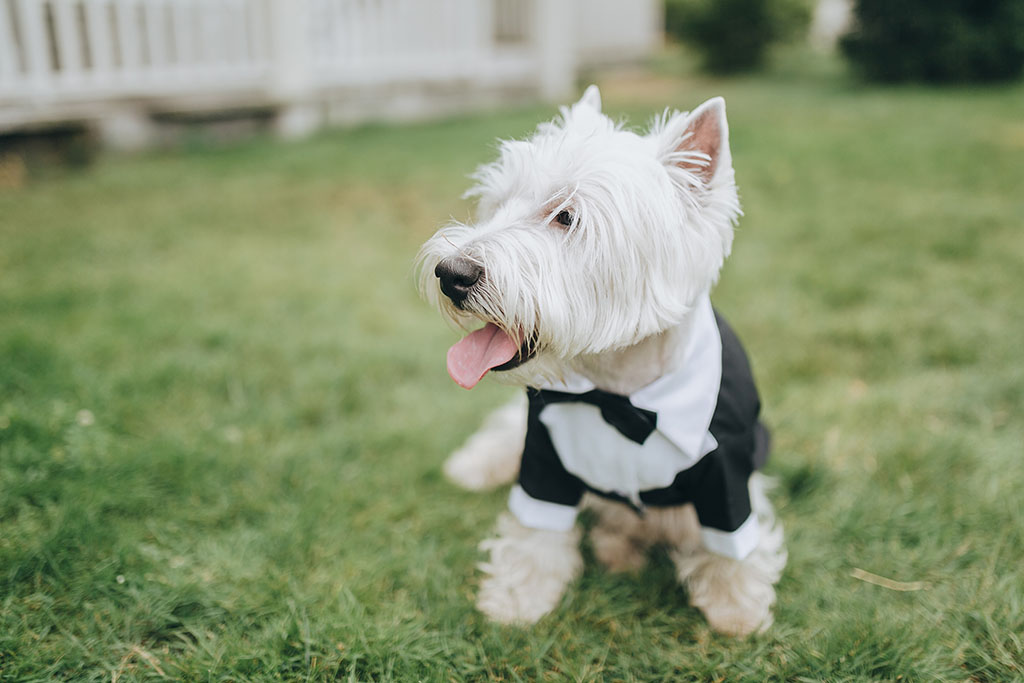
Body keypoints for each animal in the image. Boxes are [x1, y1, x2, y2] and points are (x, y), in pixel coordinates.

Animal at [415, 85, 782, 634]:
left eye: (567, 216)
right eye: (498, 202)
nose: (450, 273)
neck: (618, 393)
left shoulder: (727, 473)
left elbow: (732, 542)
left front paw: (736, 609)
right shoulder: (542, 456)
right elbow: (533, 534)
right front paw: (517, 599)